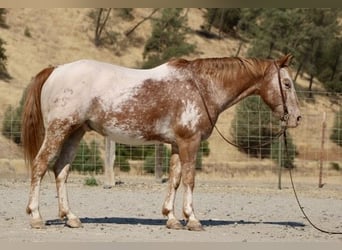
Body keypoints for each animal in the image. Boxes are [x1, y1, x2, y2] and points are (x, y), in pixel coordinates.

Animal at [21, 54, 300, 230]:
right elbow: (189, 179)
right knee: (40, 165)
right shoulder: (190, 142)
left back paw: (71, 217)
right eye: (286, 83)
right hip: (58, 130)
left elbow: (174, 180)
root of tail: (55, 70)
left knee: (61, 170)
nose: (296, 117)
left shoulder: (177, 144)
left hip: (75, 132)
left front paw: (172, 219)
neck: (200, 87)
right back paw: (36, 216)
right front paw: (192, 219)